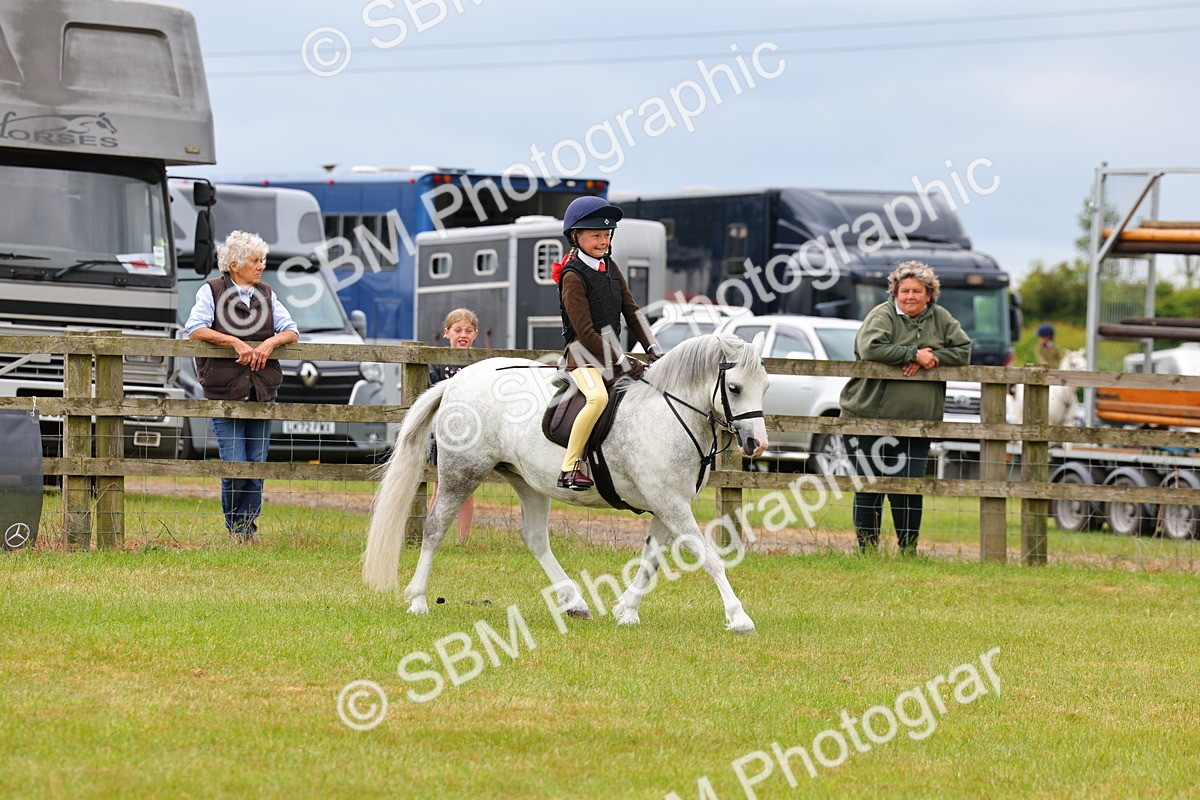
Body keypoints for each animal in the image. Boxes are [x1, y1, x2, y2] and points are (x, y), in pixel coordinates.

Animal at [363, 333, 770, 633]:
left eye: (765, 385)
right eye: (735, 388)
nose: (756, 444)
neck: (668, 413)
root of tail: (458, 379)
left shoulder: (666, 504)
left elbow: (651, 559)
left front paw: (627, 610)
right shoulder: (671, 504)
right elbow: (709, 557)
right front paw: (739, 617)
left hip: (527, 481)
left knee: (535, 538)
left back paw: (575, 603)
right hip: (462, 473)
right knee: (434, 528)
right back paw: (417, 600)